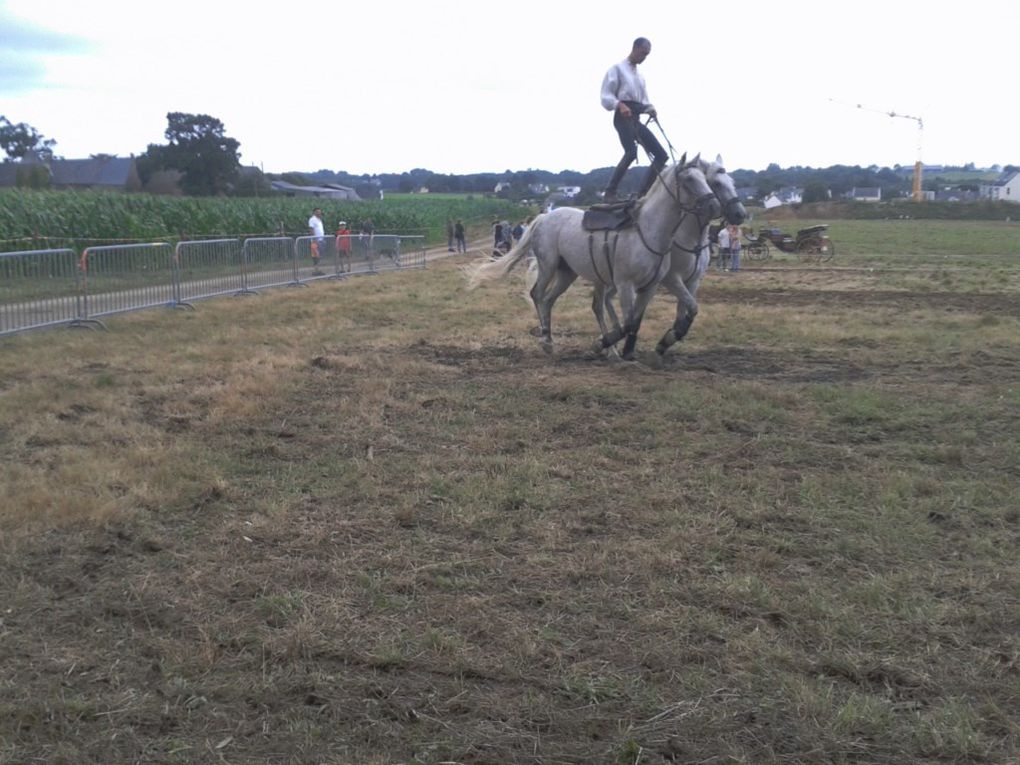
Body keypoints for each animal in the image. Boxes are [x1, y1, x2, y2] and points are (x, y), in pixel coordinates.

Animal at [467, 156, 722, 363]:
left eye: (705, 178)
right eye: (688, 179)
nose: (714, 205)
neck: (649, 231)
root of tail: (543, 218)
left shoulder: (649, 287)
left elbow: (638, 320)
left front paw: (633, 348)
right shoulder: (626, 284)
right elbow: (629, 322)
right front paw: (601, 344)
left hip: (567, 273)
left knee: (550, 300)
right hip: (549, 265)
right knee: (537, 295)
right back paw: (546, 341)